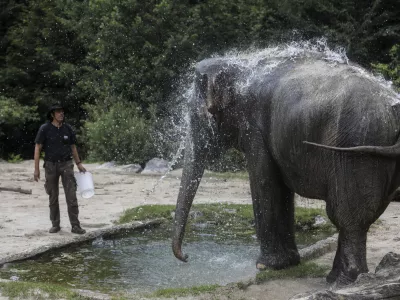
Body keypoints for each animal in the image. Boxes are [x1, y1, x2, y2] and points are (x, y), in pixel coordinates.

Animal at [171, 52, 400, 284]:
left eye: (199, 114)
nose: (186, 256)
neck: (239, 64)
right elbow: (281, 189)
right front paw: (287, 263)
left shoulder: (254, 130)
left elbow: (264, 182)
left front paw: (266, 266)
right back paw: (341, 278)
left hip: (355, 146)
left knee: (346, 216)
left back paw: (342, 280)